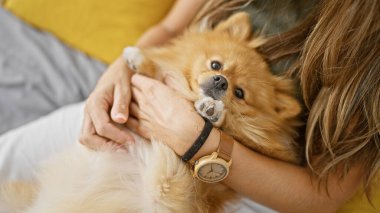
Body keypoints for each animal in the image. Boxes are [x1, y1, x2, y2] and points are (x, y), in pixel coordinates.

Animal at [1, 12, 302, 213]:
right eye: (216, 64)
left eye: (240, 93)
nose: (221, 82)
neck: (186, 93)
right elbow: (157, 70)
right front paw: (137, 59)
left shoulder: (190, 189)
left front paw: (213, 112)